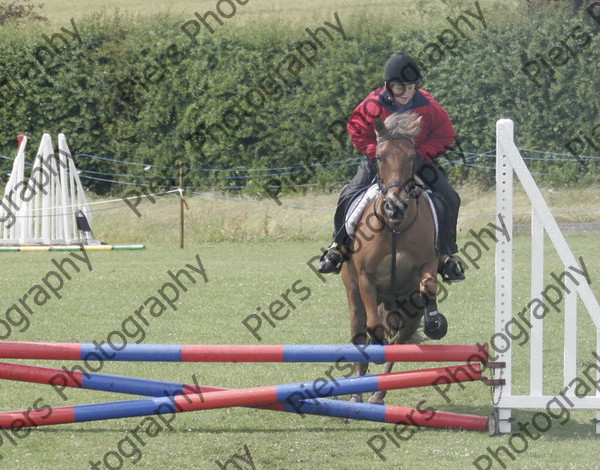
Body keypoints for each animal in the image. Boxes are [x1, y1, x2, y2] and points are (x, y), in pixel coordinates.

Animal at [340, 111, 448, 404]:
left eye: (412, 157)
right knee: (359, 332)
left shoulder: (427, 265)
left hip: (406, 311)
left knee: (399, 341)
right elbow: (373, 325)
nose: (395, 207)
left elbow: (428, 286)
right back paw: (357, 393)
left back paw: (378, 393)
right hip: (352, 292)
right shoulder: (365, 277)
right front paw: (376, 343)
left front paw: (434, 319)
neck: (395, 227)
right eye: (379, 157)